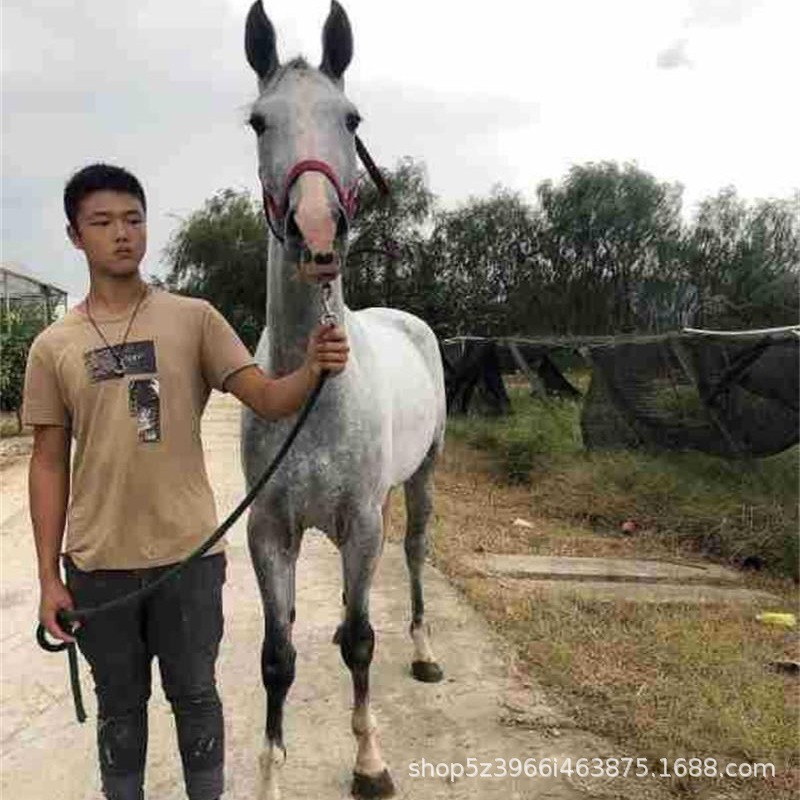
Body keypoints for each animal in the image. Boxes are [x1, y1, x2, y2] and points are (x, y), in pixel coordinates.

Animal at [240, 2, 446, 797]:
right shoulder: (269, 530)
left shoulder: (359, 525)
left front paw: (370, 761)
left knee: (413, 552)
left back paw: (423, 651)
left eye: (351, 117)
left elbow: (361, 642)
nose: (318, 235)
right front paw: (269, 774)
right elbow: (277, 657)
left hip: (420, 479)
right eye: (259, 122)